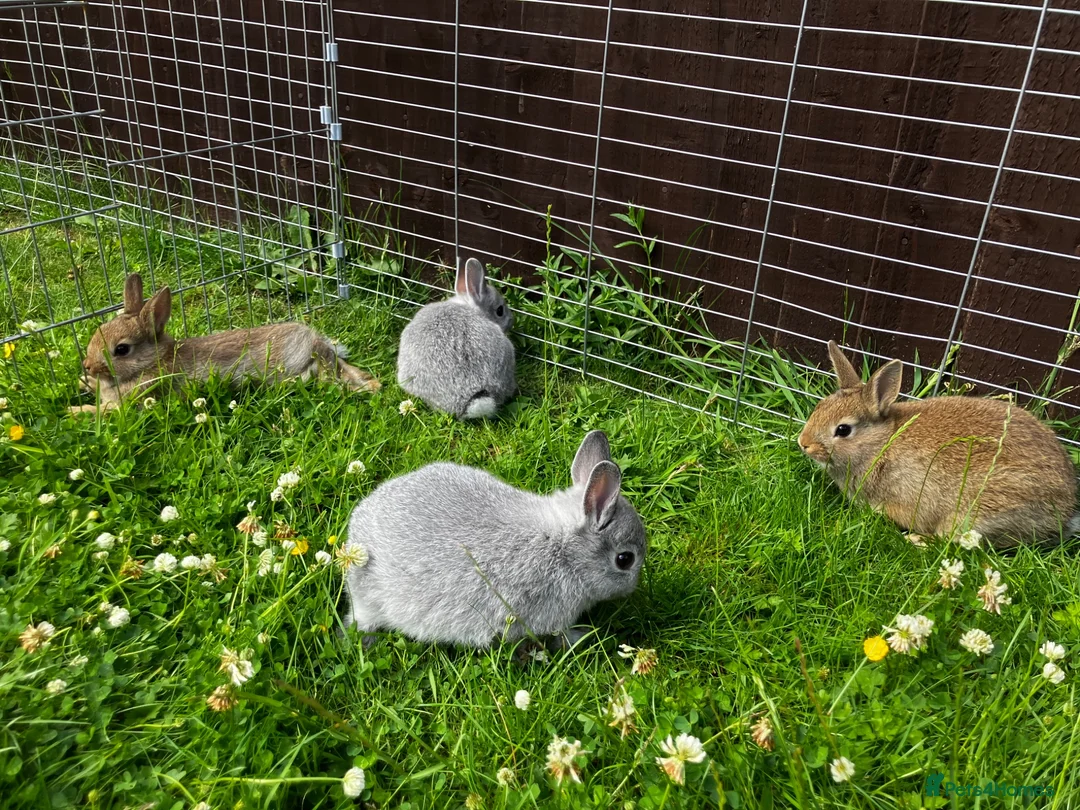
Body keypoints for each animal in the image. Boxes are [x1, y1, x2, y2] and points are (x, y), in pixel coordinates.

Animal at [71, 273, 380, 415]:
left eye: (121, 350)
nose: (88, 366)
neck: (153, 361)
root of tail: (313, 338)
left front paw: (75, 412)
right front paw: (84, 385)